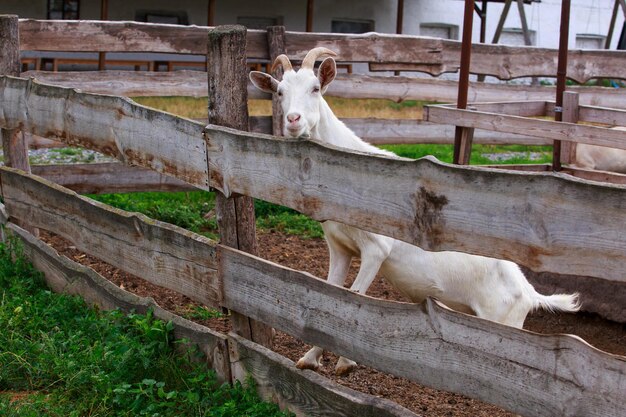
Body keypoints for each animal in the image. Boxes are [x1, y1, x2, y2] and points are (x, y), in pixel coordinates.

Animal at [249, 47, 580, 376]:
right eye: (280, 92)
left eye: (316, 88)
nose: (293, 120)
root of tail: (529, 292)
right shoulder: (339, 247)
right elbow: (329, 295)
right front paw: (310, 358)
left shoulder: (376, 249)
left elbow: (354, 296)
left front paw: (345, 362)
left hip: (503, 323)